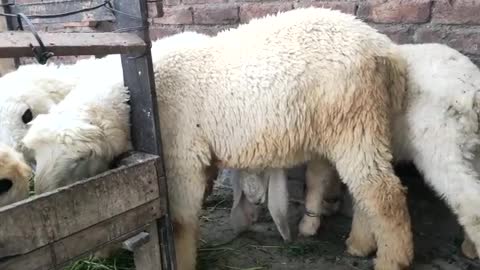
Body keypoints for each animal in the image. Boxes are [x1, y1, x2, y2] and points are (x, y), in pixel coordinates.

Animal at [153, 8, 412, 270]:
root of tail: (385, 48)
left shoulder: (181, 152)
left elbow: (179, 223)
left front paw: (181, 259)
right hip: (355, 124)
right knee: (364, 191)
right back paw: (360, 244)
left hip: (355, 117)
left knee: (383, 193)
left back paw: (392, 259)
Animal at [298, 42, 480, 262]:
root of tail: (472, 92)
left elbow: (315, 179)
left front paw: (309, 225)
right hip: (472, 150)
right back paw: (470, 248)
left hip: (442, 146)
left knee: (469, 201)